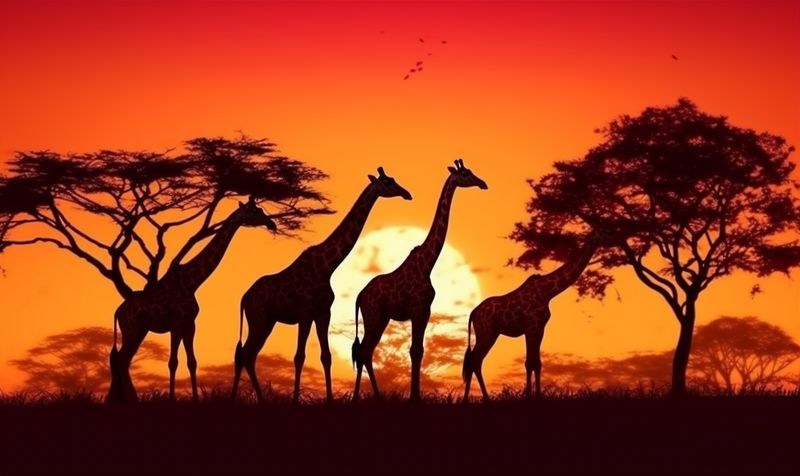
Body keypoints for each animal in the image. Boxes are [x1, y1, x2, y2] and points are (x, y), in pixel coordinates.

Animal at [106, 197, 276, 403]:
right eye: (255, 211)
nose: (272, 224)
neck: (192, 283)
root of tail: (118, 311)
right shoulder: (176, 323)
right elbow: (173, 362)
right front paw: (172, 399)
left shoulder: (190, 324)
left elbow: (192, 362)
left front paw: (195, 398)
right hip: (132, 329)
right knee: (121, 360)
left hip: (139, 331)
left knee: (122, 361)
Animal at [232, 167, 412, 403]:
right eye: (388, 182)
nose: (407, 194)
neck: (327, 267)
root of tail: (244, 297)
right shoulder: (305, 312)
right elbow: (299, 356)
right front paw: (296, 400)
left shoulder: (323, 312)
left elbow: (326, 356)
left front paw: (329, 398)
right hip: (259, 319)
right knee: (246, 354)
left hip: (266, 321)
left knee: (248, 354)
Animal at [352, 159, 488, 402]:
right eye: (465, 174)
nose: (483, 183)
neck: (427, 265)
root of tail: (359, 296)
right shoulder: (419, 309)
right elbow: (415, 351)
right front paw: (414, 397)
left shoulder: (425, 310)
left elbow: (419, 350)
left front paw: (415, 395)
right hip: (374, 315)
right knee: (363, 351)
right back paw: (362, 397)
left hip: (381, 318)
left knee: (366, 351)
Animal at [461, 229, 617, 402]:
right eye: (606, 231)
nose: (618, 239)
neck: (547, 292)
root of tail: (474, 312)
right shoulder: (532, 326)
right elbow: (530, 362)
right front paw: (530, 396)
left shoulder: (539, 328)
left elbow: (537, 362)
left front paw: (536, 395)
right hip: (487, 333)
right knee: (475, 361)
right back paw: (479, 399)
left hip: (489, 333)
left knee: (474, 361)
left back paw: (470, 399)